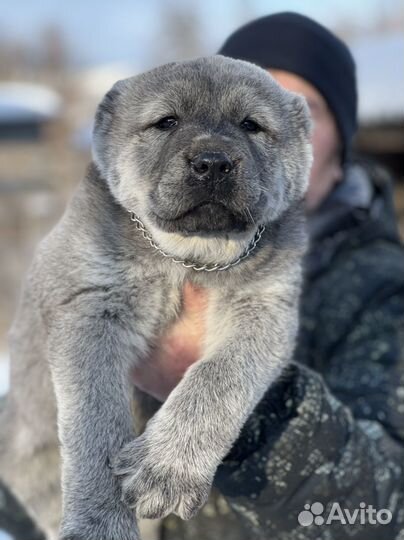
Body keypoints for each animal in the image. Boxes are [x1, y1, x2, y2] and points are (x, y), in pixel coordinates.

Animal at [0, 56, 312, 540]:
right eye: (166, 122)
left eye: (252, 125)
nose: (213, 163)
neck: (188, 258)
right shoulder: (88, 304)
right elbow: (94, 420)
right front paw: (100, 523)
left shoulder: (265, 310)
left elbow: (219, 379)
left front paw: (166, 470)